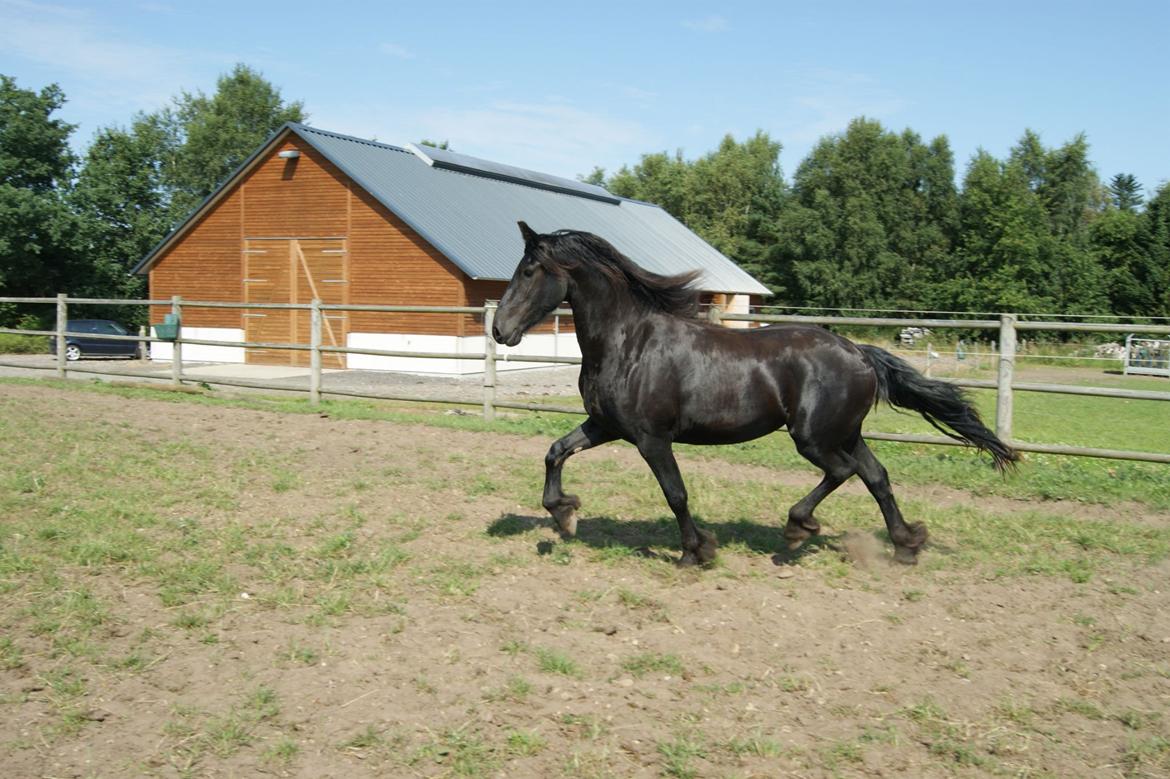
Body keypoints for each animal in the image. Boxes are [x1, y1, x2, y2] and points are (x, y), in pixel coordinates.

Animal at [493, 221, 1015, 561]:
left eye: (528, 271)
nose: (500, 330)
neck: (628, 342)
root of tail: (859, 352)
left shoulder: (650, 438)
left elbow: (675, 493)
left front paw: (698, 550)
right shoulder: (606, 425)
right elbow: (555, 451)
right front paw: (564, 514)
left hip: (814, 437)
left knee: (843, 472)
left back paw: (798, 528)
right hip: (845, 432)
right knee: (877, 477)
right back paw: (907, 544)